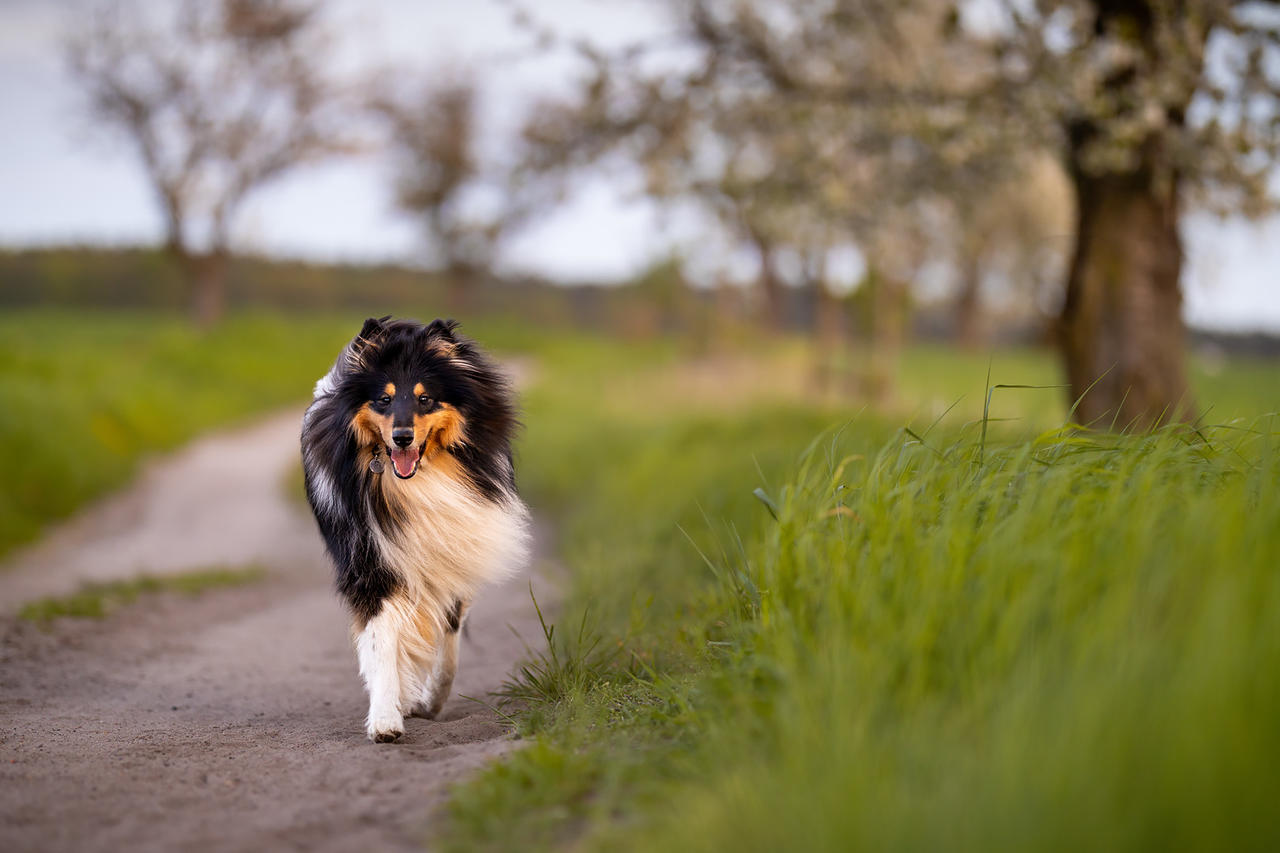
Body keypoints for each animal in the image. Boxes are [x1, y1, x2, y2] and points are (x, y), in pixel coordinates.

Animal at [300, 315, 529, 742]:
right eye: (384, 399)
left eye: (425, 399)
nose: (402, 437)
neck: (417, 480)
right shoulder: (371, 563)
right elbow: (381, 643)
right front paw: (386, 719)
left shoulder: (451, 553)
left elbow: (448, 642)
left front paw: (430, 700)